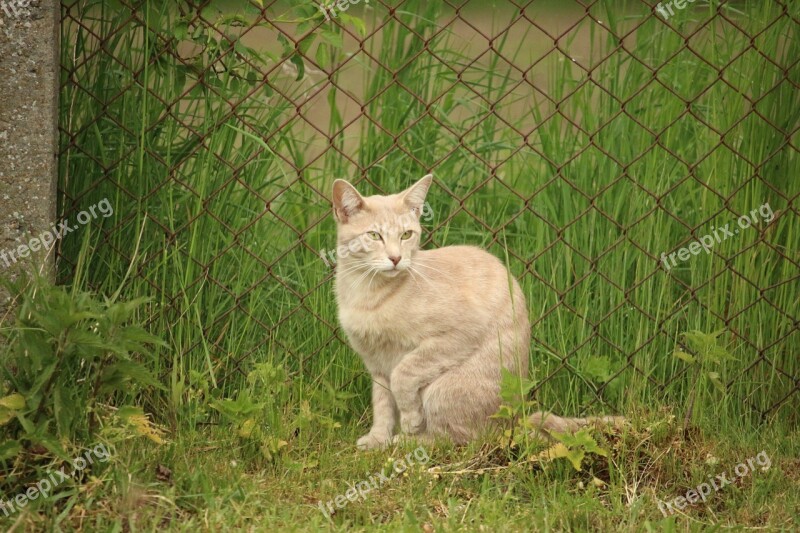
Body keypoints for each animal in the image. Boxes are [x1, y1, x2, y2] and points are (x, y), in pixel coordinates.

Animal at [332, 176, 624, 448]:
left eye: (406, 235)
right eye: (374, 235)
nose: (396, 258)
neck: (367, 293)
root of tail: (515, 418)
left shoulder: (458, 333)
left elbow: (404, 374)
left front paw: (409, 421)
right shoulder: (376, 363)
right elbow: (382, 404)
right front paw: (377, 439)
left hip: (443, 390)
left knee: (458, 438)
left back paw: (408, 440)